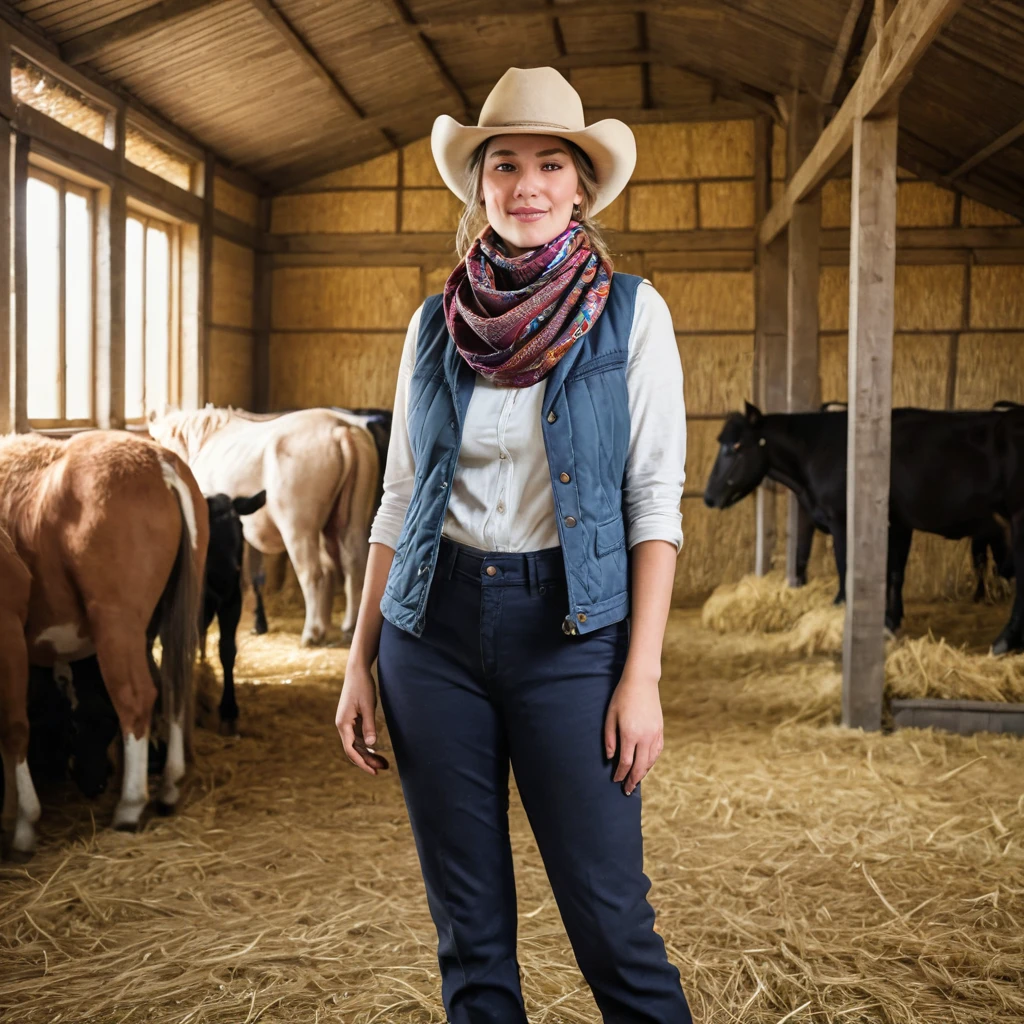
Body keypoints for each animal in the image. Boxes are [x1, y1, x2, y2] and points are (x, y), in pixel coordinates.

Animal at [0, 432, 209, 856]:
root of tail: (158, 461)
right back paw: (168, 784)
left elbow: (11, 727)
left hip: (116, 624)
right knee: (174, 687)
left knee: (136, 698)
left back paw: (130, 805)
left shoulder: (8, 632)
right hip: (170, 619)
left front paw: (22, 821)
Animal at [149, 403, 378, 643]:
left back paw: (312, 632)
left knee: (315, 573)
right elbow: (253, 575)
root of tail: (338, 429)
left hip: (298, 528)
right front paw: (258, 622)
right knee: (354, 565)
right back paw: (347, 627)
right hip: (349, 522)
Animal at [704, 401, 1024, 651]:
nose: (708, 496)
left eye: (735, 446)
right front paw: (889, 621)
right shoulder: (898, 523)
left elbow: (845, 566)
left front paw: (840, 611)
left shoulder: (842, 521)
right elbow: (894, 573)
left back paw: (1004, 642)